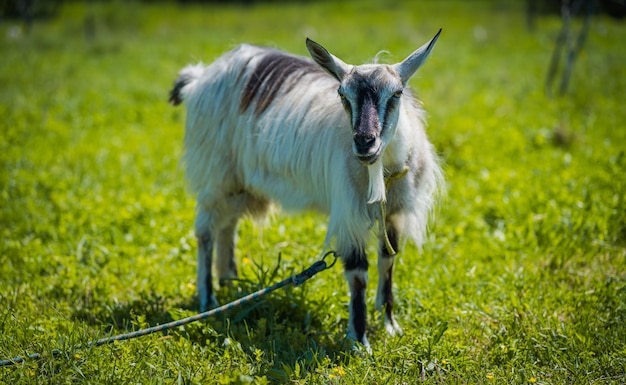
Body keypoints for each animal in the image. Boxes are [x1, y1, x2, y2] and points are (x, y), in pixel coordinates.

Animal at [171, 31, 442, 350]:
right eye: (342, 95)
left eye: (397, 93)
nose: (365, 142)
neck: (383, 173)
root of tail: (200, 76)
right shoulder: (348, 214)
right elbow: (358, 273)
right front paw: (359, 341)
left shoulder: (394, 214)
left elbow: (388, 262)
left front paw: (390, 326)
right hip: (215, 170)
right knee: (206, 231)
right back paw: (208, 298)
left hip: (238, 182)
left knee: (228, 226)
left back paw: (230, 284)